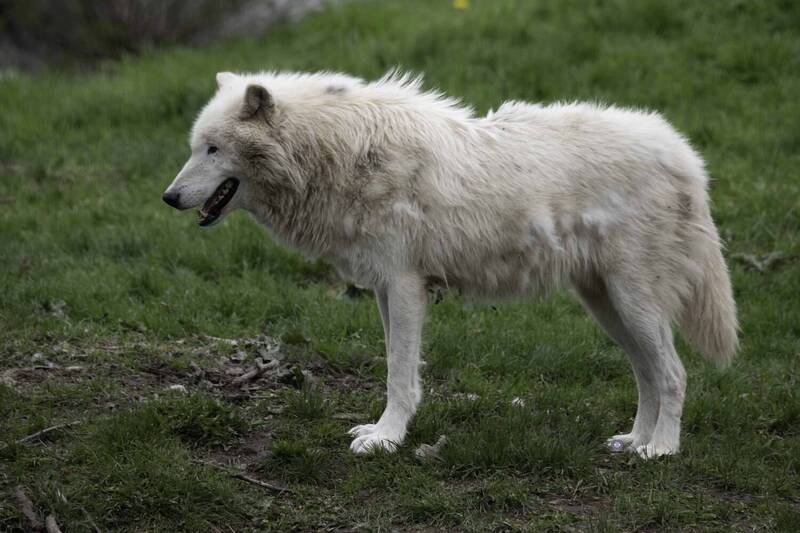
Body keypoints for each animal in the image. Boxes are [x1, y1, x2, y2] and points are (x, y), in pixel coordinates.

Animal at [163, 71, 738, 458]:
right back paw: (633, 440)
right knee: (647, 372)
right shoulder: (384, 289)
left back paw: (661, 450)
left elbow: (399, 373)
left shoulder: (404, 285)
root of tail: (685, 155)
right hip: (608, 306)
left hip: (632, 301)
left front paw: (386, 439)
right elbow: (396, 367)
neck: (340, 155)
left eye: (212, 149)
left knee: (674, 372)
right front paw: (383, 432)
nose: (168, 197)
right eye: (194, 147)